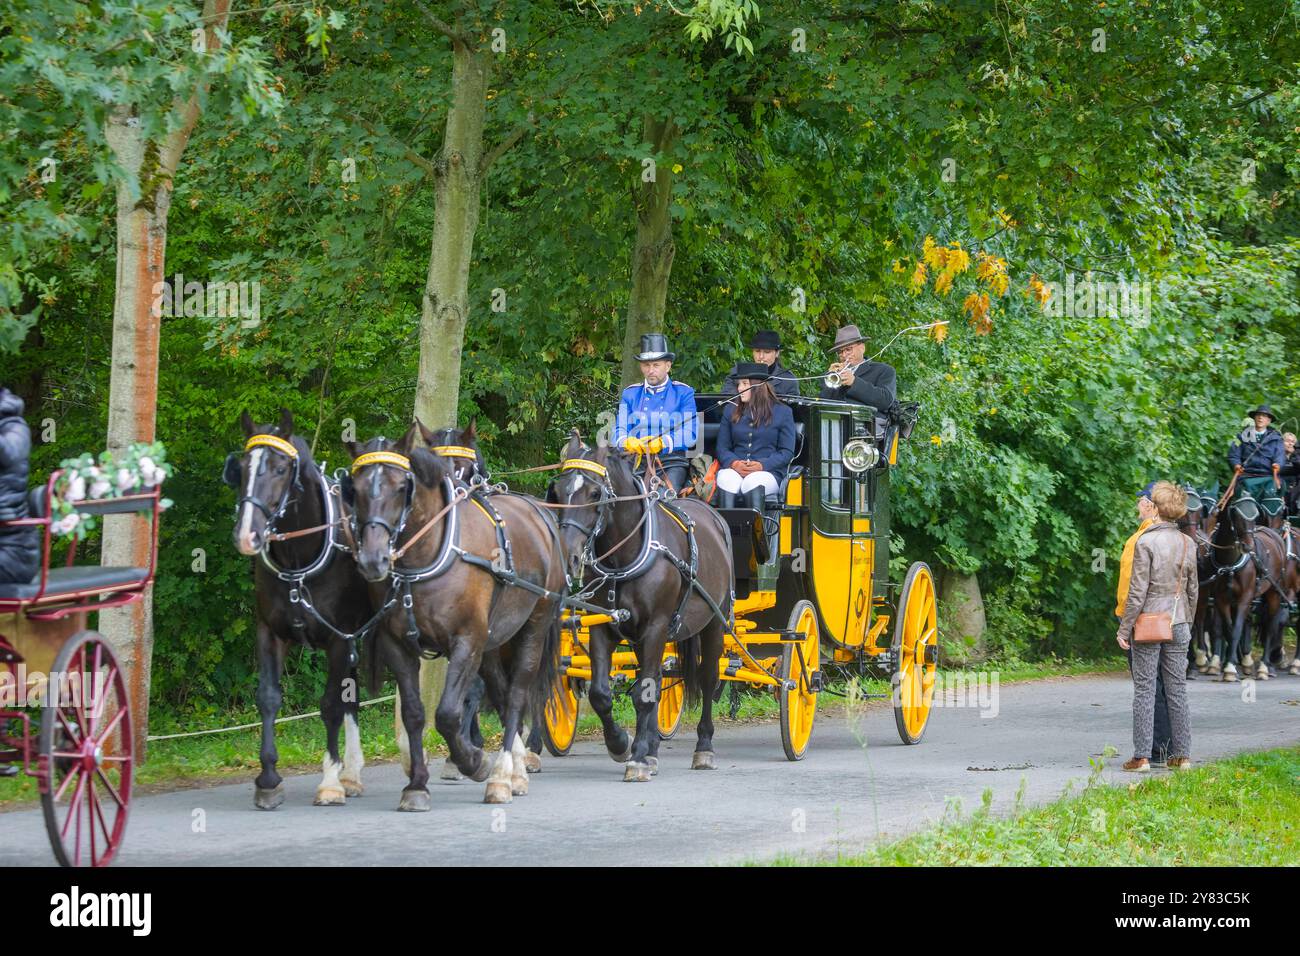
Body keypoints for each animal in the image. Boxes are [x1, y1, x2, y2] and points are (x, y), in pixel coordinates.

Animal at [223, 408, 374, 806]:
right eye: (241, 467)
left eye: (279, 468)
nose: (246, 535)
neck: (299, 562)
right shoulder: (270, 632)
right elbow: (269, 698)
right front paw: (268, 779)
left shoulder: (338, 638)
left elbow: (330, 705)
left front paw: (330, 781)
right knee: (353, 693)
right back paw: (353, 773)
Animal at [345, 426, 564, 806]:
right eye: (354, 489)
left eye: (401, 487)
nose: (373, 559)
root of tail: (540, 513)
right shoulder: (397, 644)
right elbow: (415, 713)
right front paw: (417, 784)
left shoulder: (466, 640)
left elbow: (447, 712)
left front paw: (473, 761)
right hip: (494, 642)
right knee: (502, 694)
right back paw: (514, 766)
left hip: (534, 625)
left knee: (518, 694)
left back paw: (502, 776)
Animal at [546, 434, 738, 785]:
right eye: (560, 490)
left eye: (594, 493)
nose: (568, 556)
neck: (625, 556)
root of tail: (712, 514)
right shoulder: (604, 625)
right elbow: (602, 693)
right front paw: (621, 744)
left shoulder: (655, 627)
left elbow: (642, 694)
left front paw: (635, 757)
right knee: (656, 683)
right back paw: (651, 750)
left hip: (713, 624)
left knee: (707, 679)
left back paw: (703, 748)